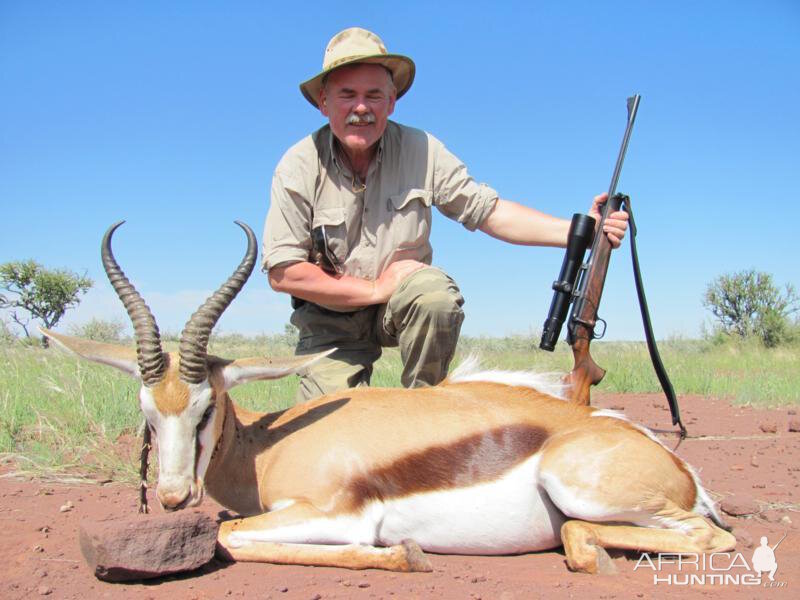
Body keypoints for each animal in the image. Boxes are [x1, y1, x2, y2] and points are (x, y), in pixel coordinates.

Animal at [40, 223, 736, 576]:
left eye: (205, 407)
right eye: (147, 414)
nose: (173, 496)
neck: (268, 446)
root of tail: (678, 467)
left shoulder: (336, 514)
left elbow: (231, 536)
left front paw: (403, 554)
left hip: (580, 486)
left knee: (708, 537)